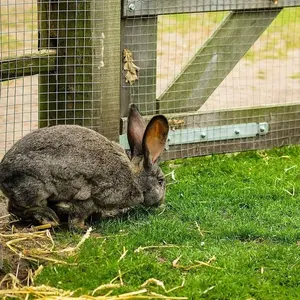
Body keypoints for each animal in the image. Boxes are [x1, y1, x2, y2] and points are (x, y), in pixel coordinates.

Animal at [0, 104, 169, 231]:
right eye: (160, 181)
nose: (161, 202)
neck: (134, 177)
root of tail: (3, 175)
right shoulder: (91, 197)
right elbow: (78, 215)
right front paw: (82, 227)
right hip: (34, 187)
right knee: (16, 208)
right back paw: (49, 217)